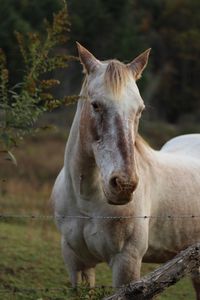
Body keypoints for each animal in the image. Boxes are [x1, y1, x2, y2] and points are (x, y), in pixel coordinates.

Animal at [50, 43, 200, 298]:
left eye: (140, 109)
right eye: (95, 104)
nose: (124, 185)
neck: (85, 200)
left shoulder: (126, 263)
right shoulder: (76, 262)